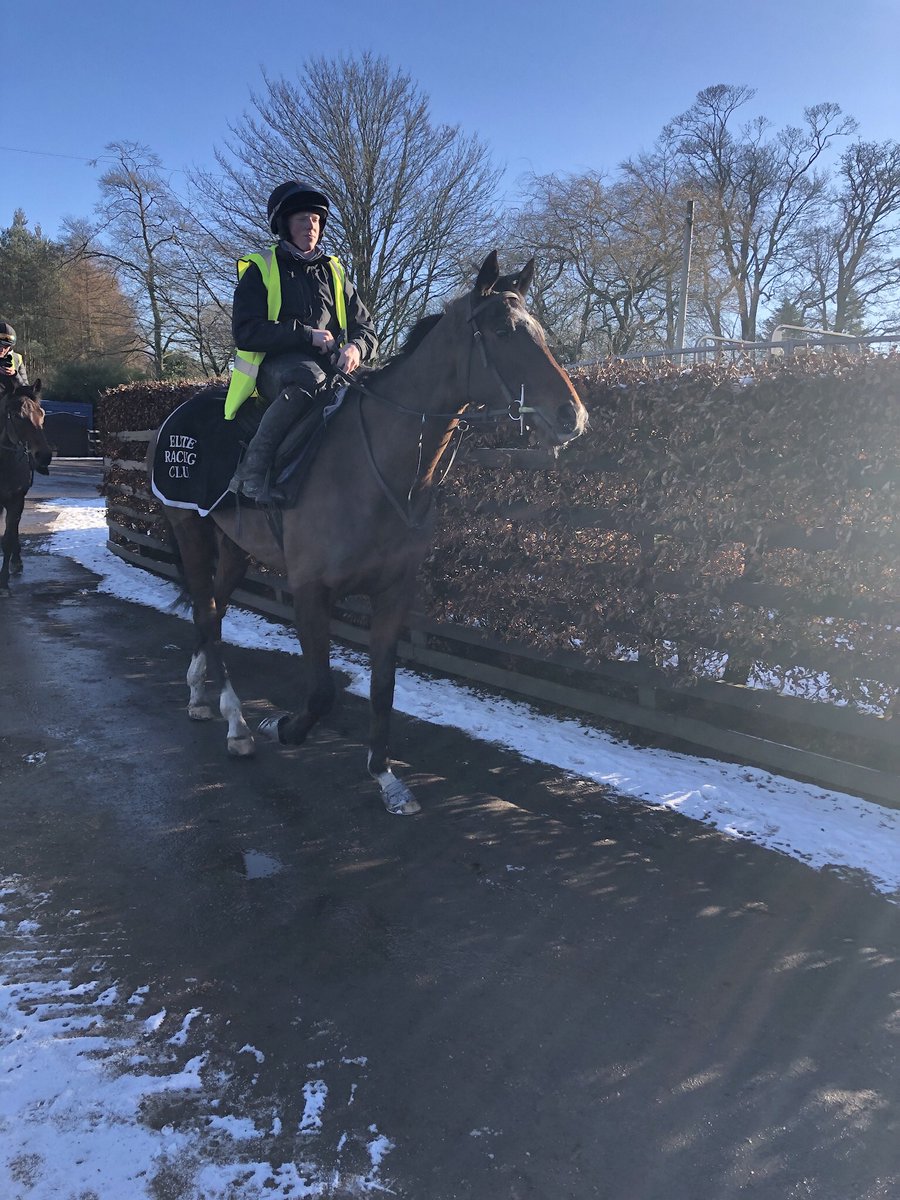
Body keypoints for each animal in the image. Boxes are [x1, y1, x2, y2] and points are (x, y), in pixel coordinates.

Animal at [159, 253, 588, 816]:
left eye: (536, 329)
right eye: (501, 330)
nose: (572, 416)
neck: (372, 468)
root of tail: (178, 412)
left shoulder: (393, 593)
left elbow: (383, 686)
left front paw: (385, 778)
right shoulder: (310, 591)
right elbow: (322, 691)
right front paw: (283, 725)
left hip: (234, 548)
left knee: (211, 609)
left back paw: (198, 697)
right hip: (188, 529)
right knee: (209, 616)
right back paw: (237, 724)